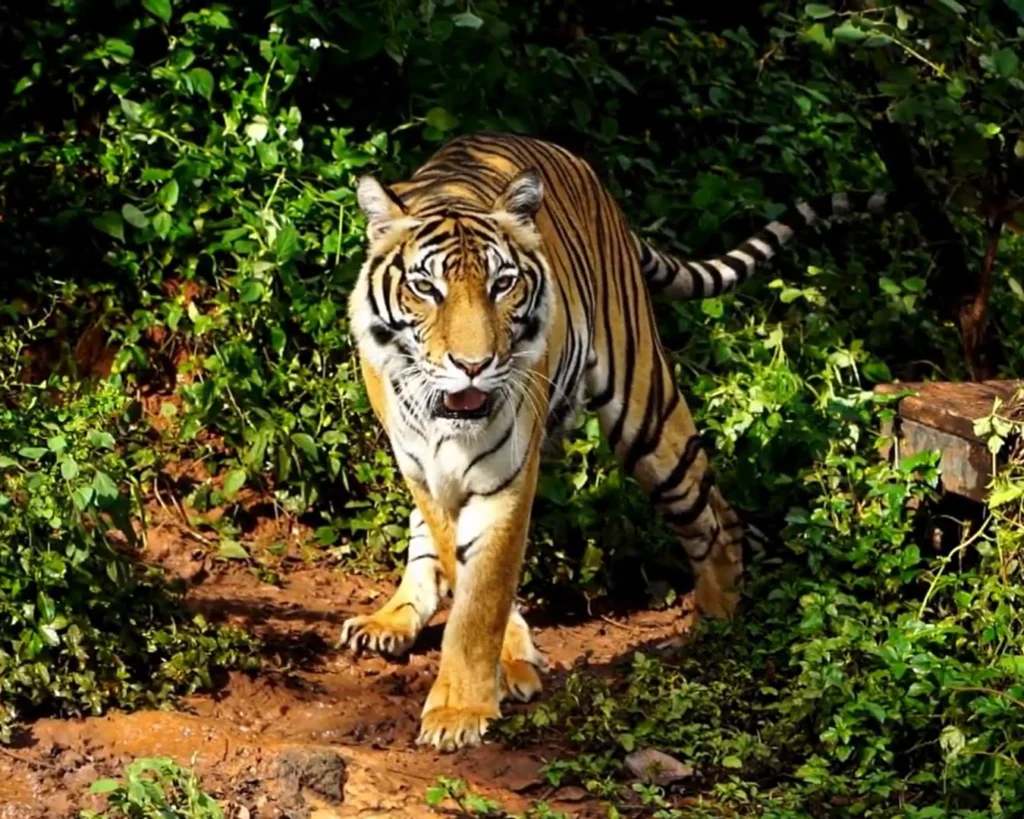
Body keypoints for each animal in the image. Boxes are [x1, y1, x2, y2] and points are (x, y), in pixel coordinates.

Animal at [340, 131, 892, 752]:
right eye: (425, 288)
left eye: (502, 284)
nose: (473, 365)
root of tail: (571, 158)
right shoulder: (423, 469)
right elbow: (460, 567)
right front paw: (503, 666)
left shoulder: (507, 474)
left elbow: (483, 597)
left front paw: (461, 710)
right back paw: (391, 620)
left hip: (648, 410)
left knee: (713, 517)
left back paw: (716, 632)